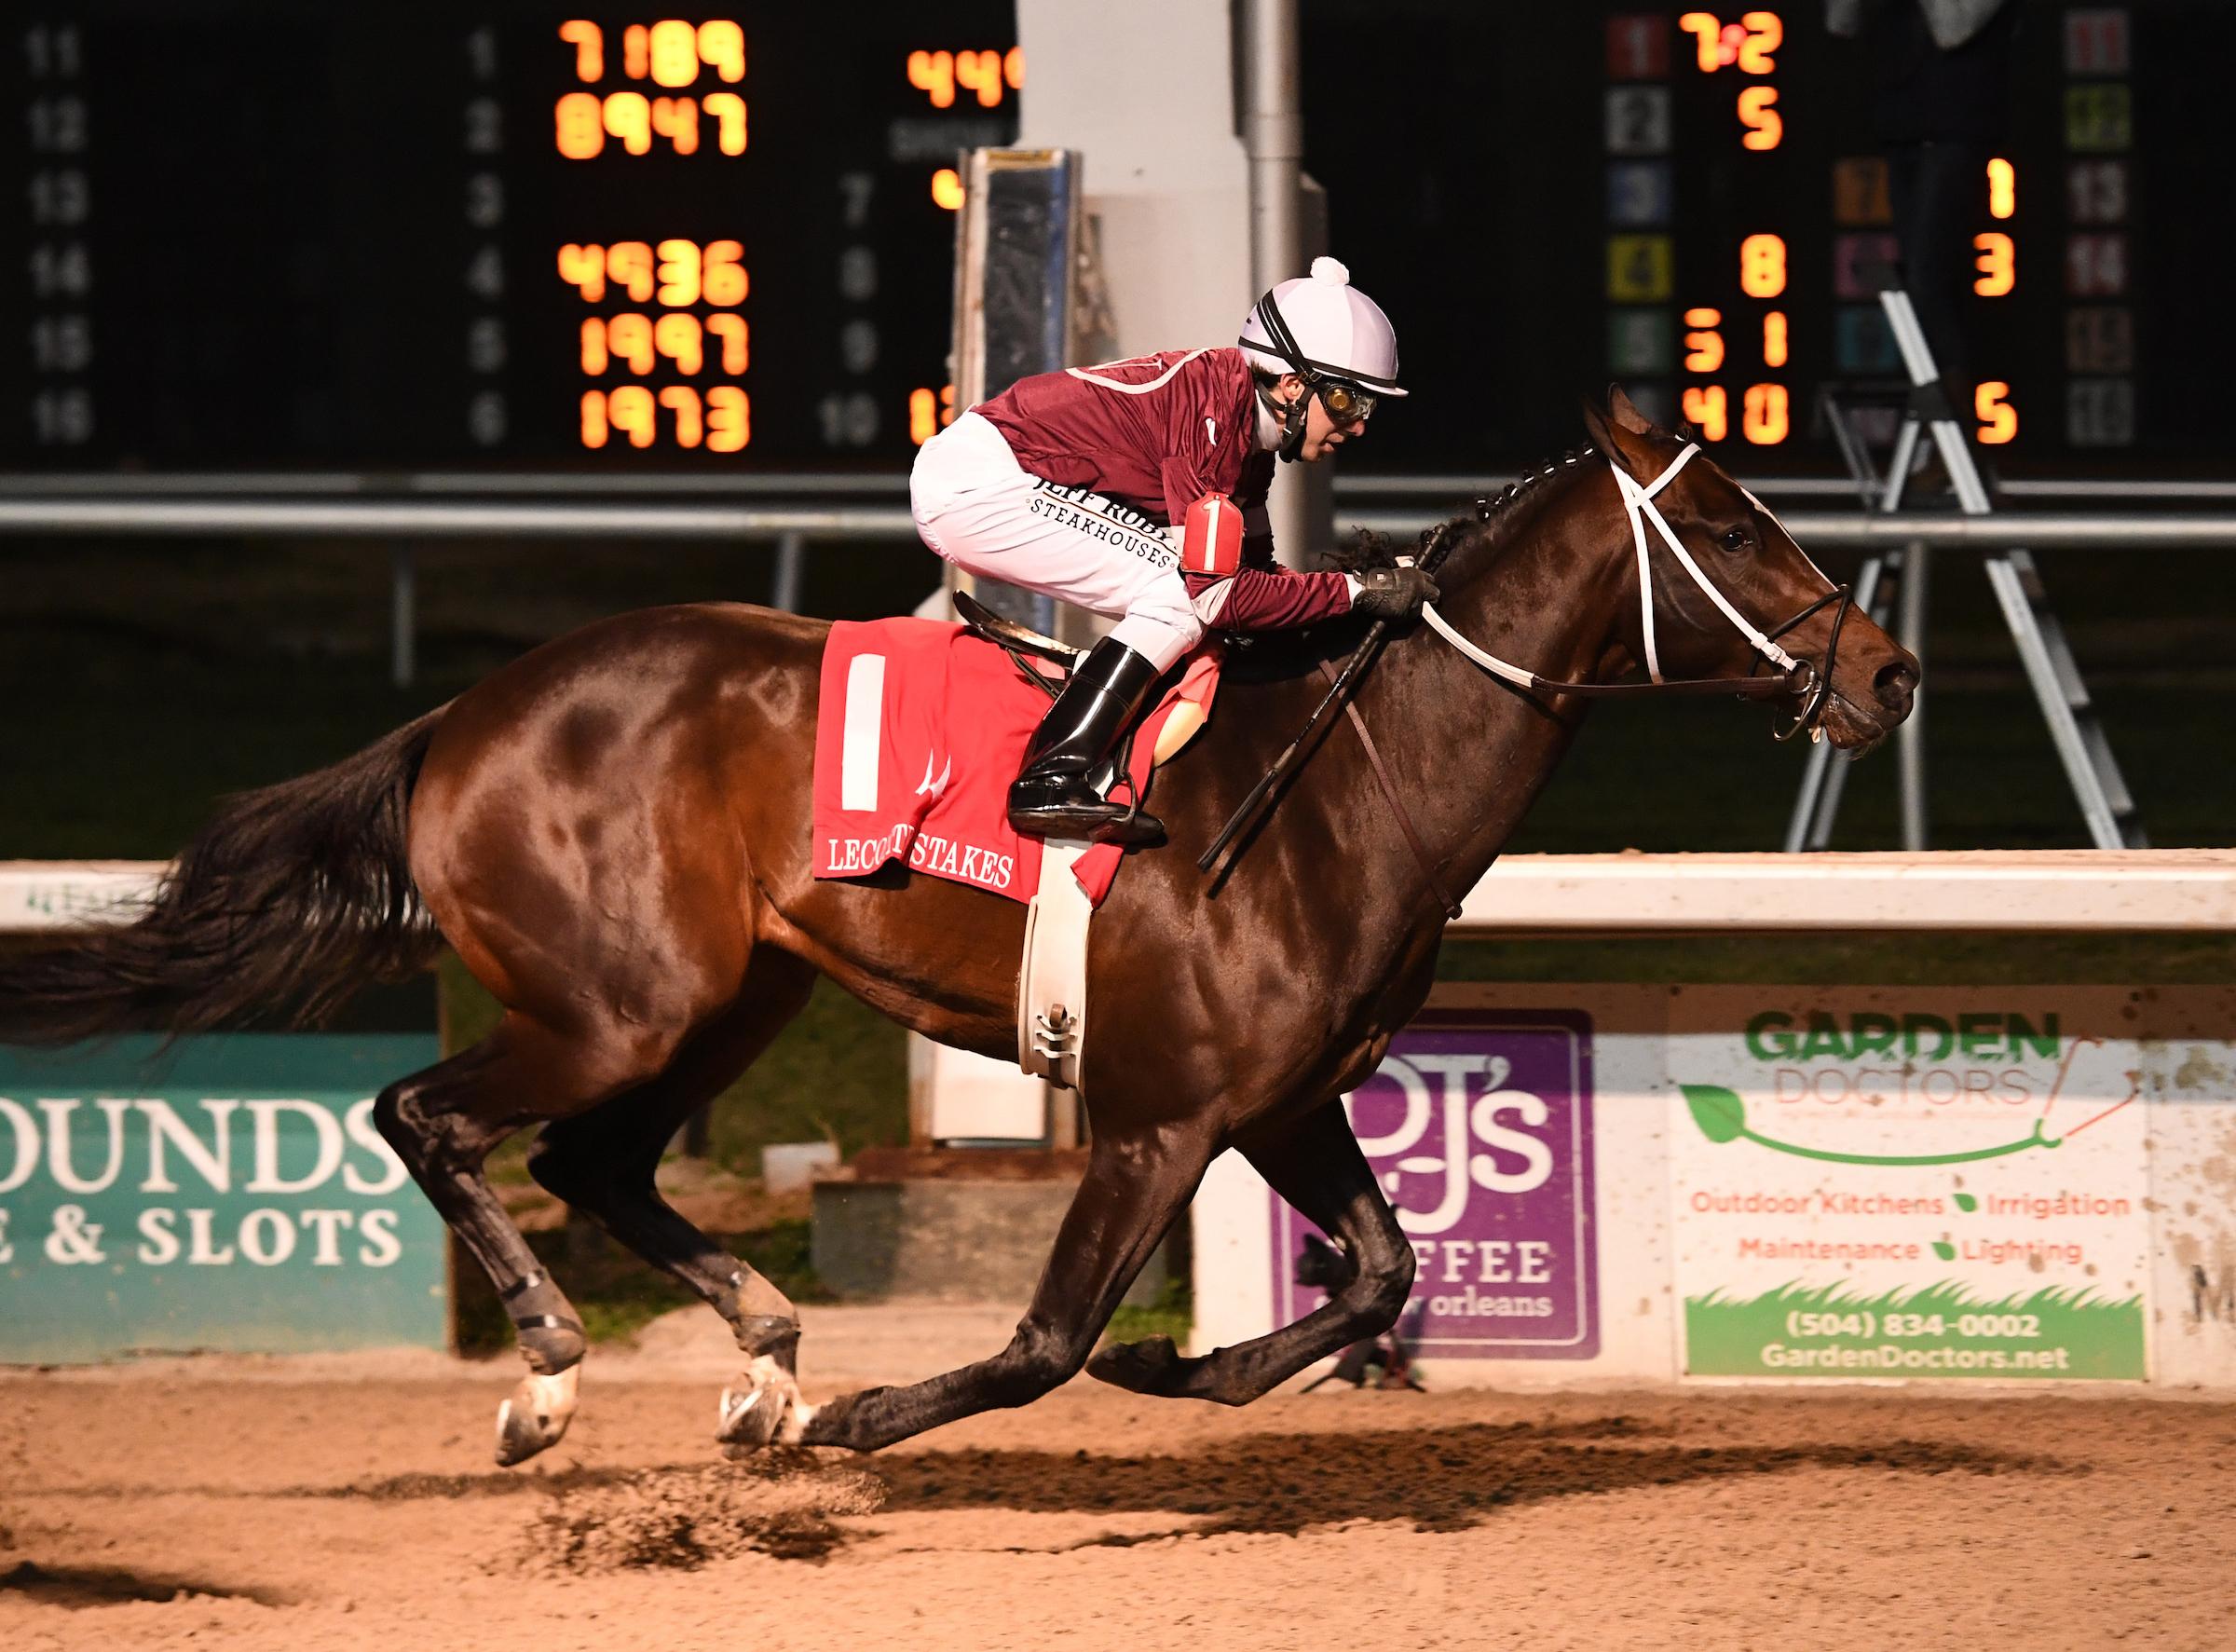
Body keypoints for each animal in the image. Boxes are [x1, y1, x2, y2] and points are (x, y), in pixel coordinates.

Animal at [0, 390, 1918, 1464]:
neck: (1343, 782)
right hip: (619, 1000)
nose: (1890, 674)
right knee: (432, 1115)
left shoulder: (1284, 1098)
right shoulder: (1158, 1117)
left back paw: (764, 1360)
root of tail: (466, 714)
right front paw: (889, 1411)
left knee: (593, 1163)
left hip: (733, 996)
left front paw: (1183, 1361)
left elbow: (1382, 1274)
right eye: (1732, 521)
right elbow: (1042, 1342)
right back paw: (556, 1373)